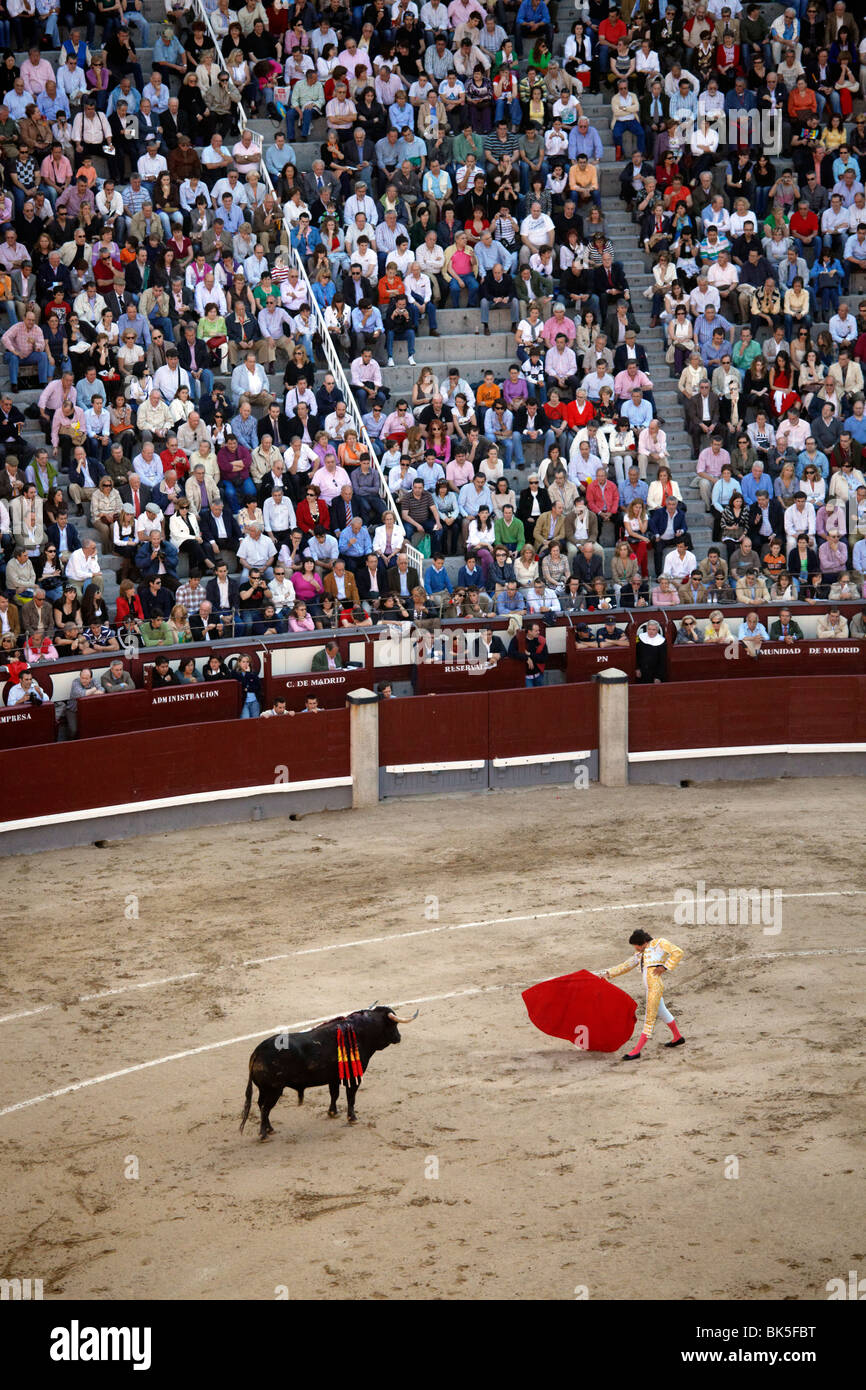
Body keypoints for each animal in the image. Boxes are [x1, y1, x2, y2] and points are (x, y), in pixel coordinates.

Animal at [239, 1011, 419, 1139]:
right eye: (393, 1024)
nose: (399, 1037)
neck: (361, 1032)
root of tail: (258, 1052)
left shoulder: (334, 1078)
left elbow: (334, 1094)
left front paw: (333, 1112)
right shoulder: (353, 1077)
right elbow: (351, 1097)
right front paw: (352, 1117)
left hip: (265, 1090)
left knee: (261, 1106)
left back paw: (270, 1129)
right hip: (274, 1090)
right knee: (265, 1108)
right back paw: (264, 1134)